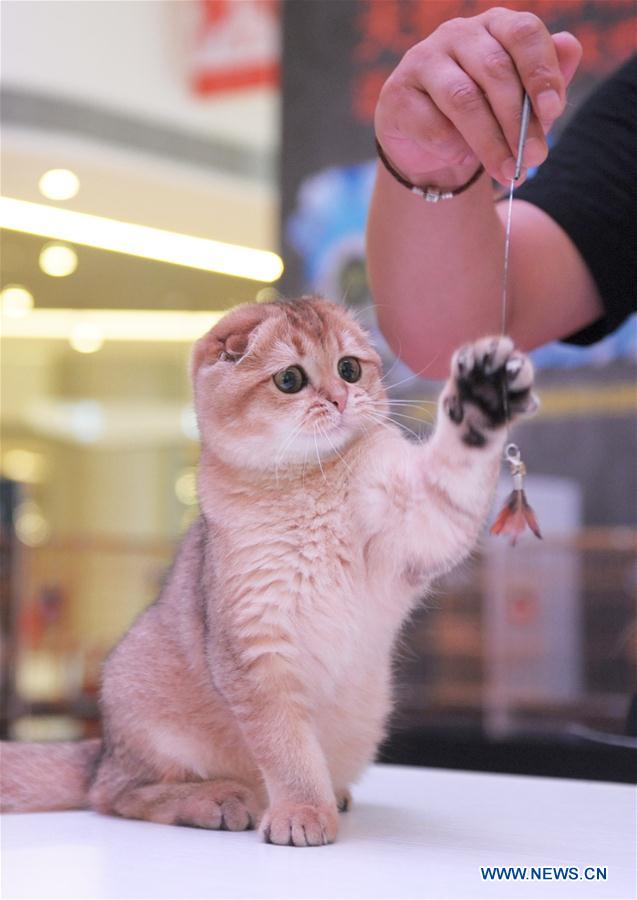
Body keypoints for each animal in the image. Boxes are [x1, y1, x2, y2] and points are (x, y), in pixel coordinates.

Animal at [1, 298, 536, 848]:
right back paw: (217, 800)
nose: (340, 398)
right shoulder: (258, 650)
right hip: (142, 703)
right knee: (115, 794)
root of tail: (103, 746)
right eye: (290, 380)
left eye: (349, 368)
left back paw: (329, 793)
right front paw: (301, 811)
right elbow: (287, 748)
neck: (309, 486)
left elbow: (454, 474)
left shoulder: (420, 522)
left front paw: (482, 395)